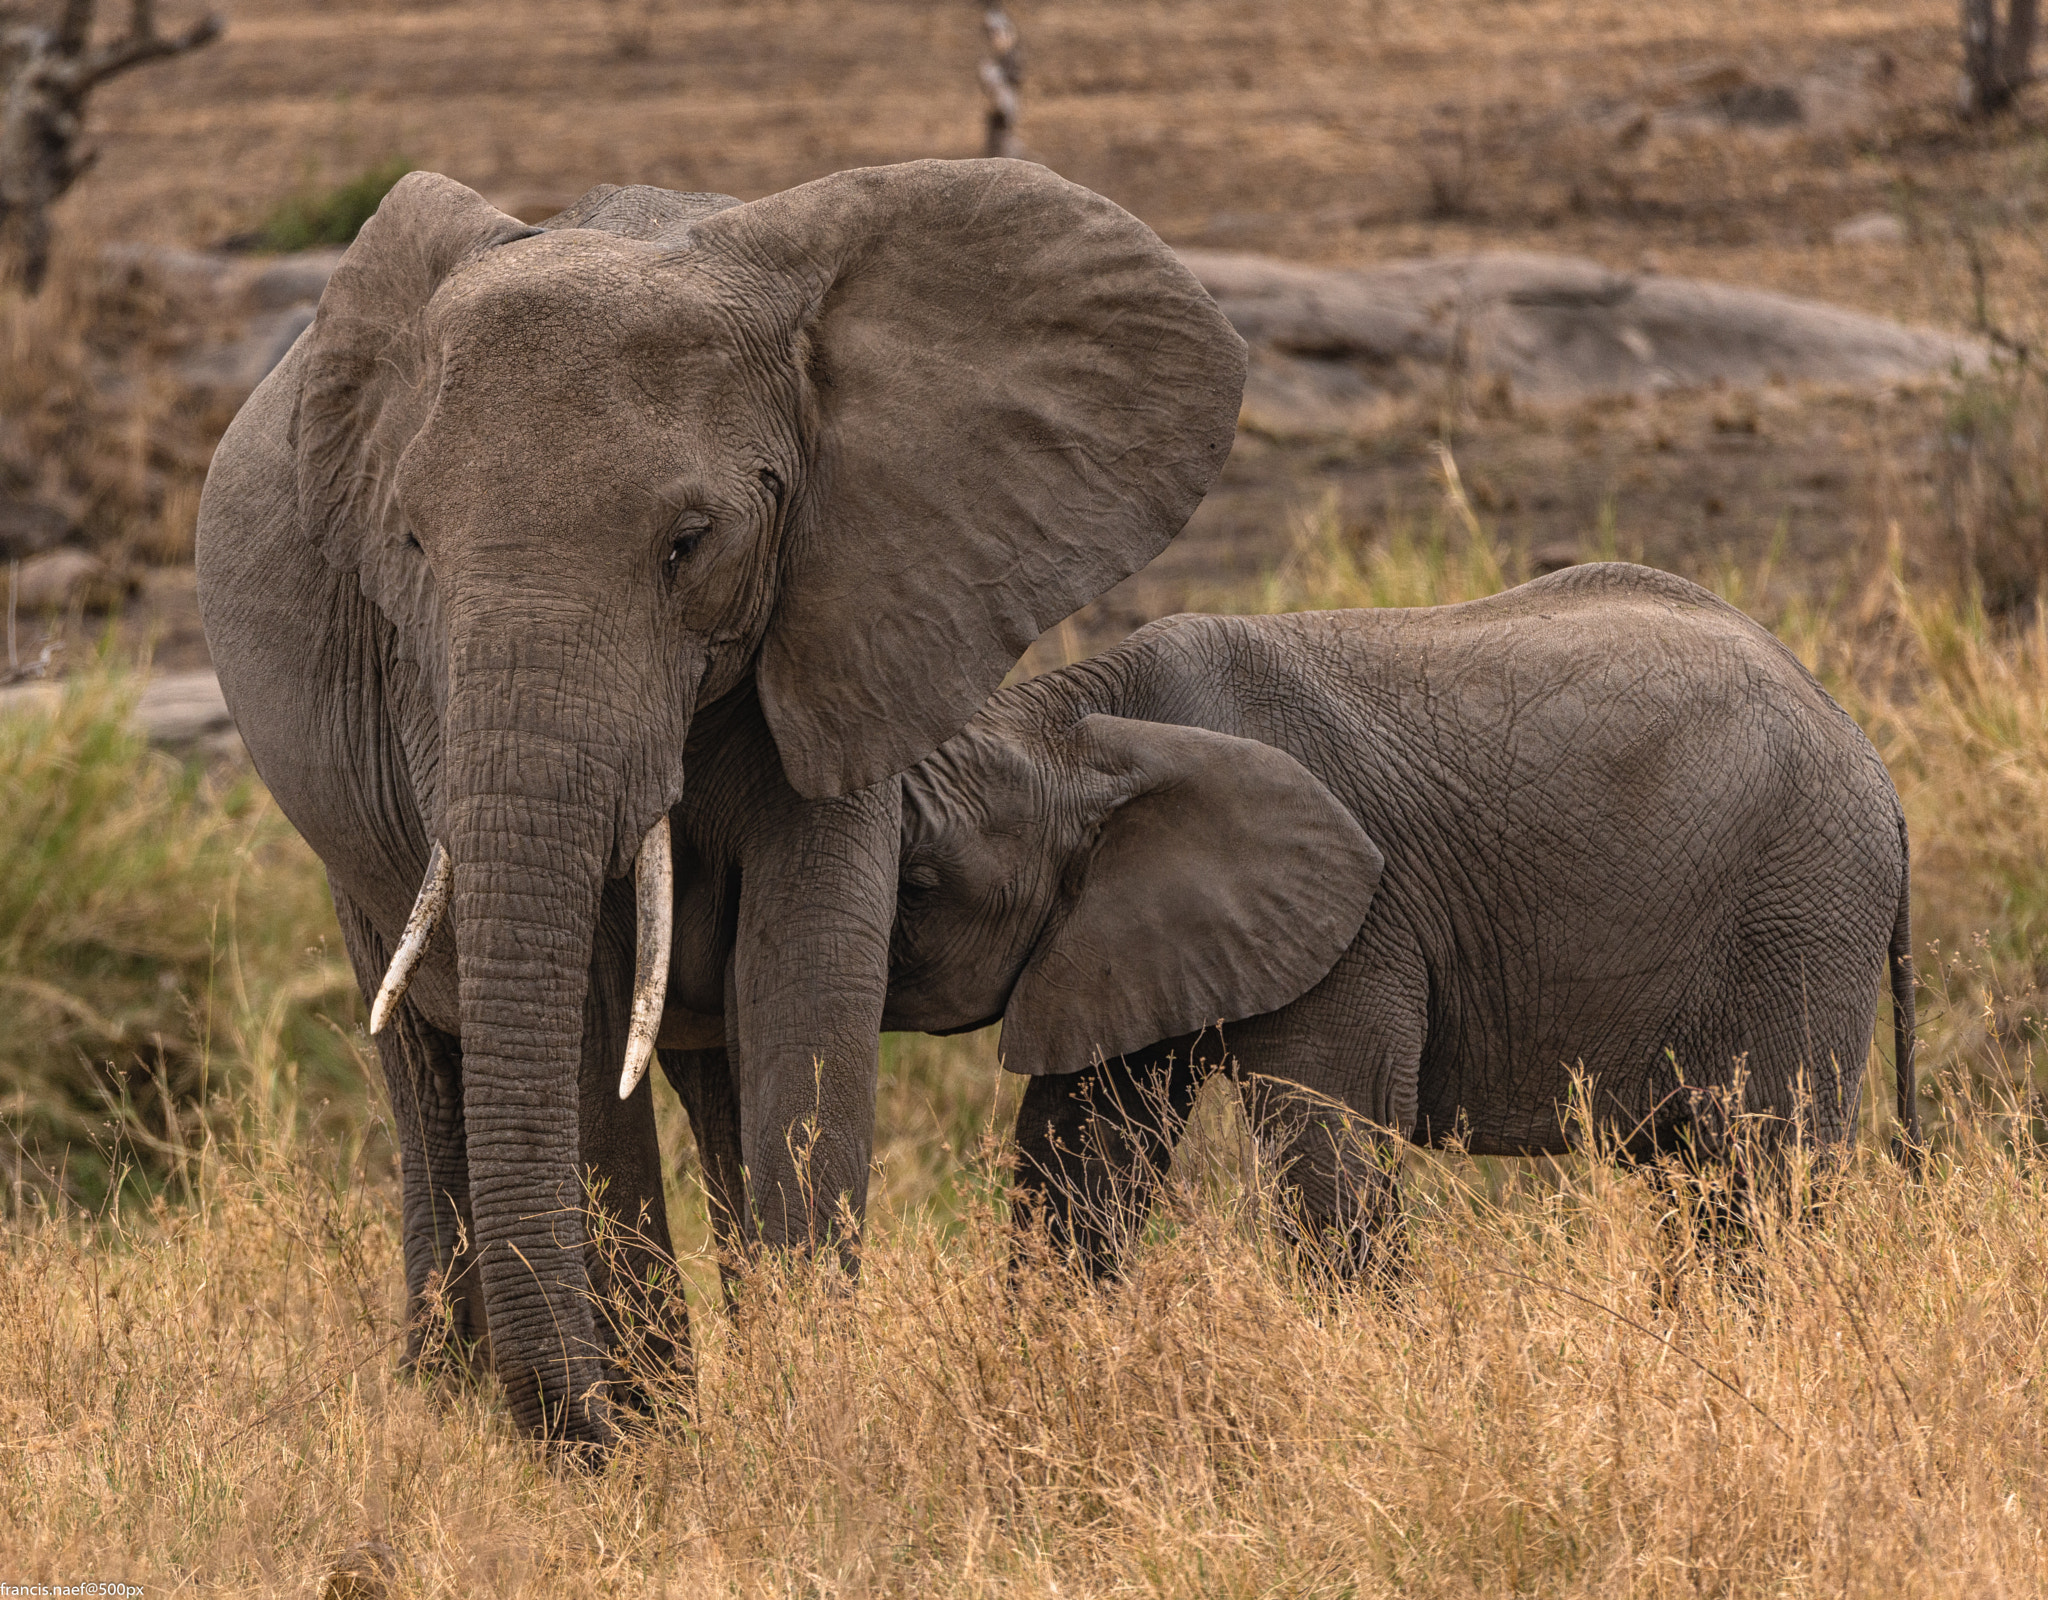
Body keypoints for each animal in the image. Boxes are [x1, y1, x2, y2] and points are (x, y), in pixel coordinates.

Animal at [195, 161, 1245, 1450]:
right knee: (427, 1054)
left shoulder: (858, 606)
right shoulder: (421, 682)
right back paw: (444, 1396)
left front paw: (802, 1406)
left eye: (688, 542)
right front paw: (656, 1436)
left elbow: (804, 975)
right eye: (409, 543)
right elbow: (582, 1018)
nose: (584, 1426)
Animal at [888, 561, 1908, 1270]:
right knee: (1699, 1175)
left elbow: (1327, 1148)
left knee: (1760, 1169)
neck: (1085, 719)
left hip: (1802, 909)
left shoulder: (1358, 925)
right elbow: (1080, 1149)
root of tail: (1867, 748)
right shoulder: (1118, 932)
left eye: (922, 885)